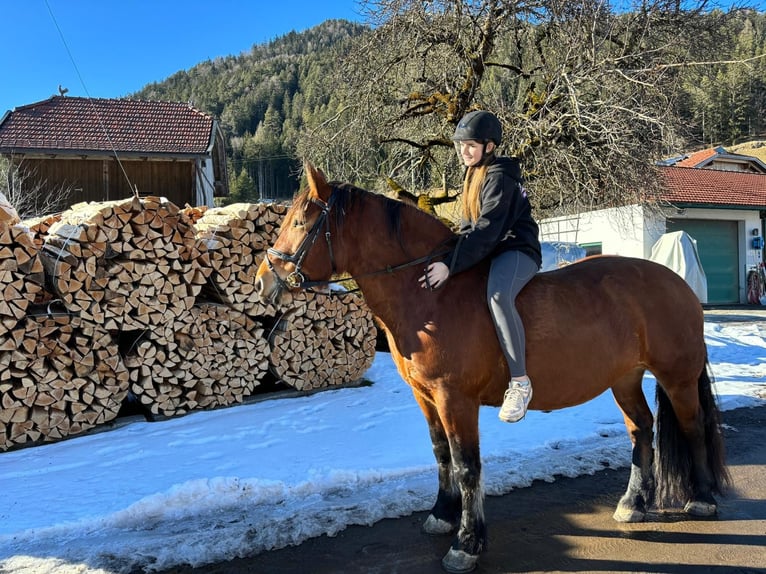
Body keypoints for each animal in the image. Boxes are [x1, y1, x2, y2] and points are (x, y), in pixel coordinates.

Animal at [256, 163, 732, 574]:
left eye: (301, 222)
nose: (263, 281)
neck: (431, 293)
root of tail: (677, 283)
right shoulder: (426, 397)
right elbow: (442, 455)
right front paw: (442, 515)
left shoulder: (455, 399)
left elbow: (468, 466)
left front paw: (467, 542)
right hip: (624, 379)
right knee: (641, 430)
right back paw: (633, 503)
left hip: (676, 377)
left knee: (691, 427)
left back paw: (702, 500)